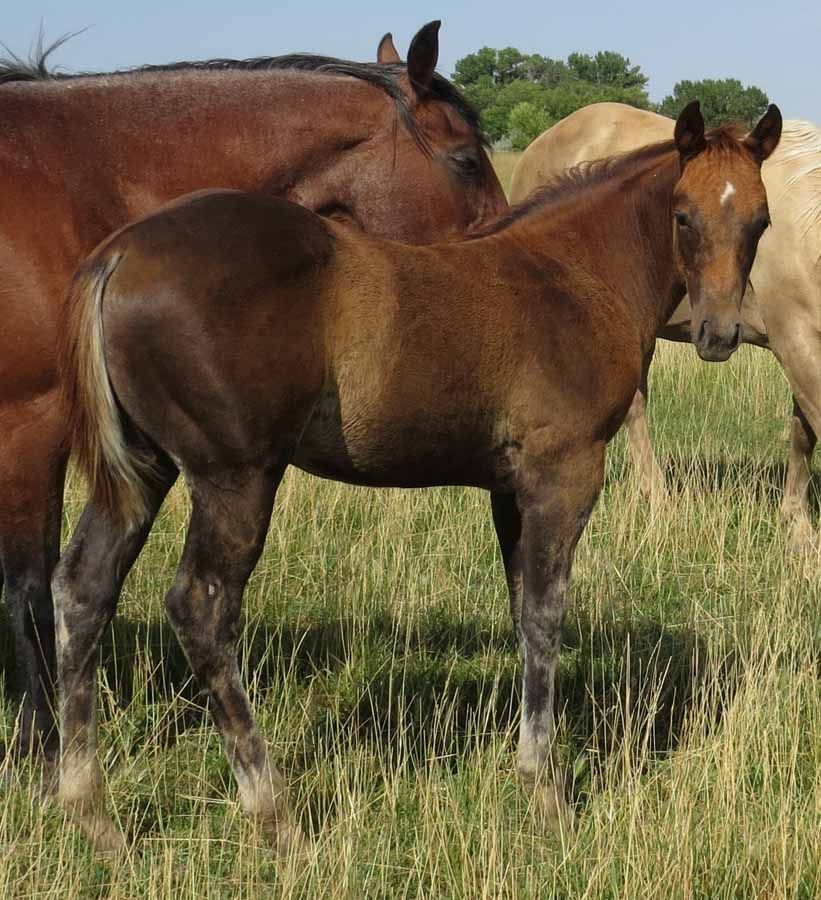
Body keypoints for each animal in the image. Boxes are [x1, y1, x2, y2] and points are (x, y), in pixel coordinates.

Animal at [52, 101, 781, 854]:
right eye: (683, 216)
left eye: (760, 222)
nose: (718, 334)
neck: (573, 273)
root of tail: (118, 254)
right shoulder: (565, 472)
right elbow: (547, 613)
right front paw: (547, 793)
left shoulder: (508, 488)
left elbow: (522, 611)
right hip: (236, 476)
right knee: (201, 607)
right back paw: (275, 814)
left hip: (143, 467)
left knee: (83, 587)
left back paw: (91, 811)